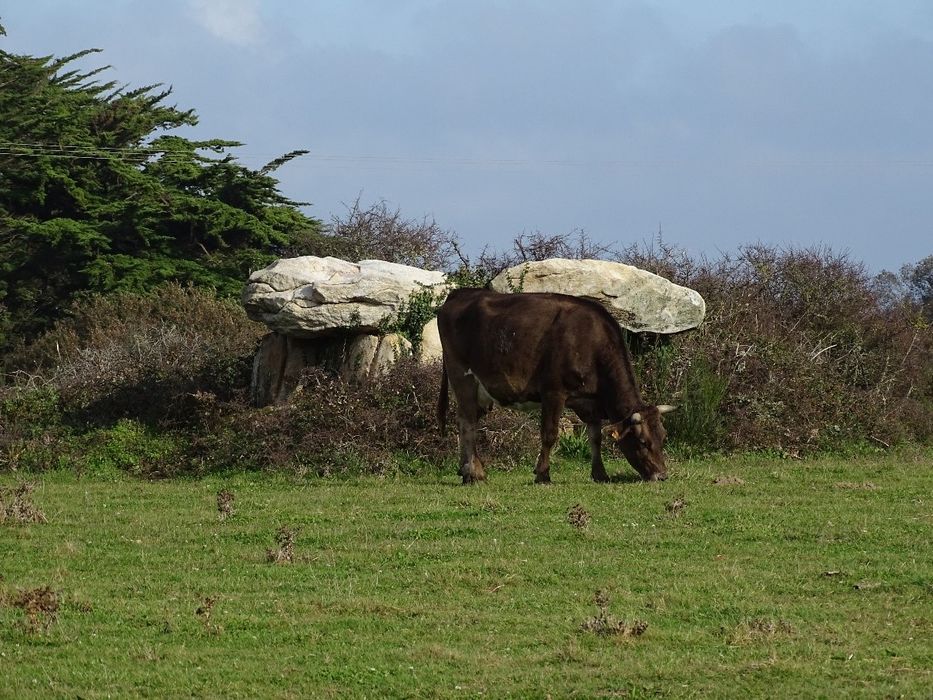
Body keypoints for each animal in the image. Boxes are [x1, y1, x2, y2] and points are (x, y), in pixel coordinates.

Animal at [438, 288, 676, 484]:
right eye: (642, 442)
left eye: (663, 437)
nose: (662, 475)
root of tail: (461, 293)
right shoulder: (553, 392)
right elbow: (549, 434)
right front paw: (542, 474)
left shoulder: (589, 402)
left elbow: (595, 437)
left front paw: (600, 473)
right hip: (462, 376)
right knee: (467, 422)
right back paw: (473, 473)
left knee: (467, 420)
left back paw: (467, 469)